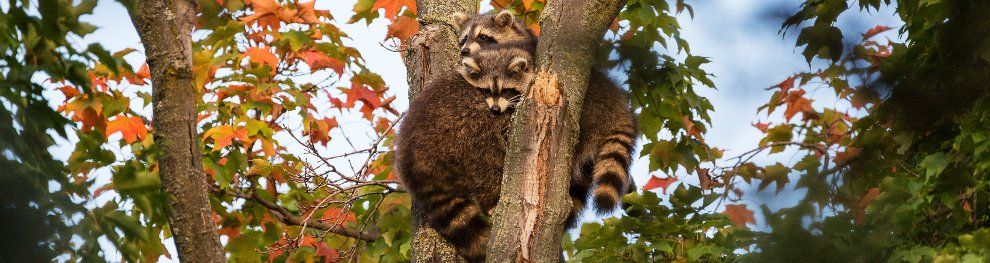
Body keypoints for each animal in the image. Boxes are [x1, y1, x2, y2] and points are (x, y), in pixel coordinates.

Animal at [396, 44, 536, 262]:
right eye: (485, 90)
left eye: (506, 90)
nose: (495, 109)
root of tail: (415, 164)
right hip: (457, 137)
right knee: (484, 158)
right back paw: (490, 200)